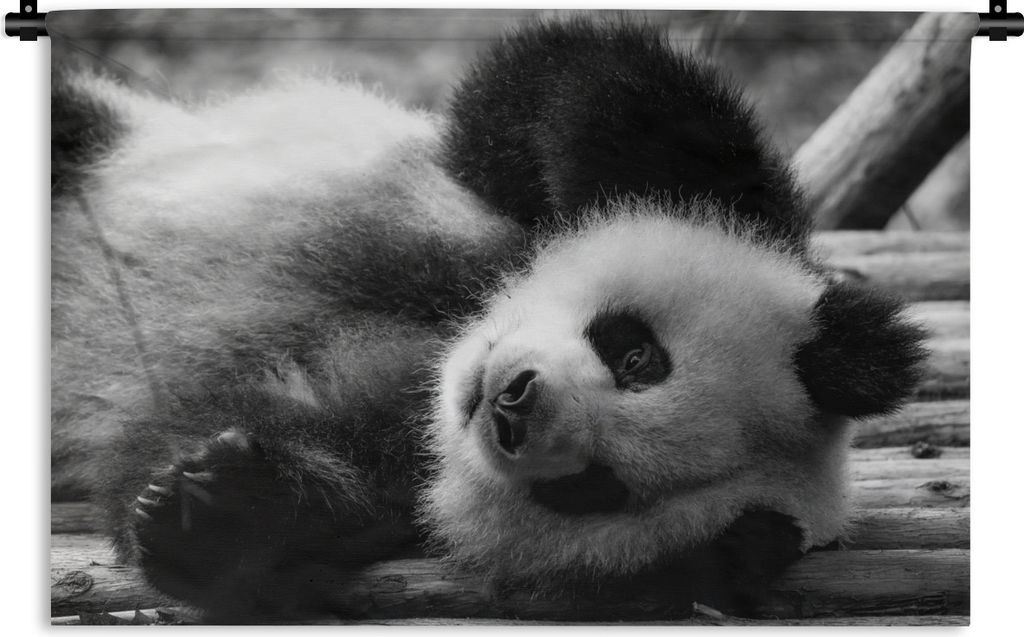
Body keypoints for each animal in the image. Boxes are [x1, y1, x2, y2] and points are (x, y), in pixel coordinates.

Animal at [51, 18, 926, 621]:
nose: (512, 403)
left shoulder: (398, 459)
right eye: (637, 356)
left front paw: (216, 504)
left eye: (592, 486)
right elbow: (582, 86)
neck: (439, 349)